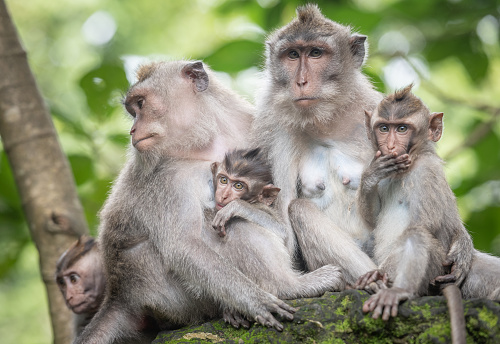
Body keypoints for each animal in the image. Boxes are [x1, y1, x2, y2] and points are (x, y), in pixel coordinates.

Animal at [71, 61, 296, 344]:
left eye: (141, 104)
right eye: (133, 110)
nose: (132, 129)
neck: (208, 139)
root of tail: (119, 292)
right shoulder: (168, 177)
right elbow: (183, 245)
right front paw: (256, 301)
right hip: (166, 293)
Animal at [210, 147, 344, 328]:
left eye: (239, 186)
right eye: (223, 180)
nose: (223, 195)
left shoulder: (262, 208)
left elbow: (284, 233)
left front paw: (238, 206)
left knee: (238, 222)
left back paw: (291, 287)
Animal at [252, 3, 380, 282]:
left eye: (315, 53)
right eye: (292, 55)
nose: (301, 81)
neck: (324, 121)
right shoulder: (274, 132)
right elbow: (285, 241)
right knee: (300, 209)